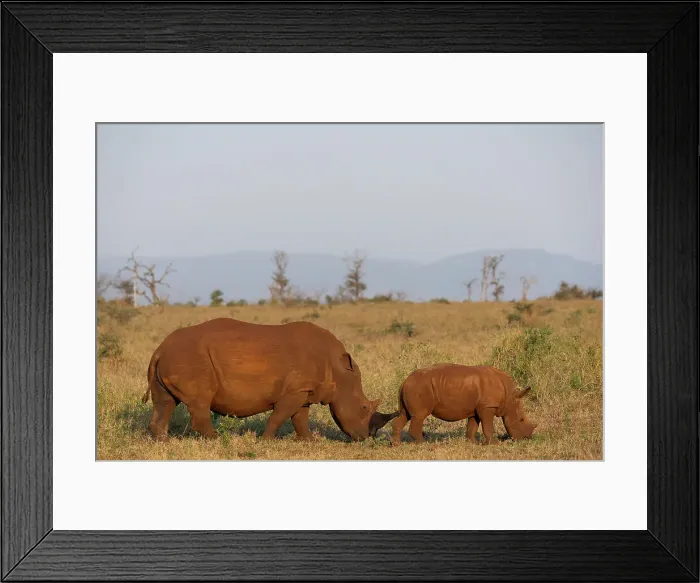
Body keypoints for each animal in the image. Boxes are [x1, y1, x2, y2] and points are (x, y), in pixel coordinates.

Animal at [142, 317, 398, 441]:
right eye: (363, 407)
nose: (366, 438)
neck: (339, 371)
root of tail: (160, 350)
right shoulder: (295, 391)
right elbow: (280, 416)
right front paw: (265, 440)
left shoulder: (303, 391)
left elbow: (300, 419)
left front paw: (310, 441)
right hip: (190, 358)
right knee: (200, 402)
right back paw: (216, 440)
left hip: (175, 357)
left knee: (165, 402)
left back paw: (163, 442)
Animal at [390, 363, 537, 445]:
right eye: (521, 420)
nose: (527, 439)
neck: (510, 397)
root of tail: (405, 381)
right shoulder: (488, 406)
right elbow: (488, 426)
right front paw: (494, 444)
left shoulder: (477, 408)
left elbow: (472, 425)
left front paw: (473, 442)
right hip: (419, 387)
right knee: (419, 416)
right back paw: (424, 444)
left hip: (413, 387)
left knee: (405, 414)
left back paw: (396, 445)